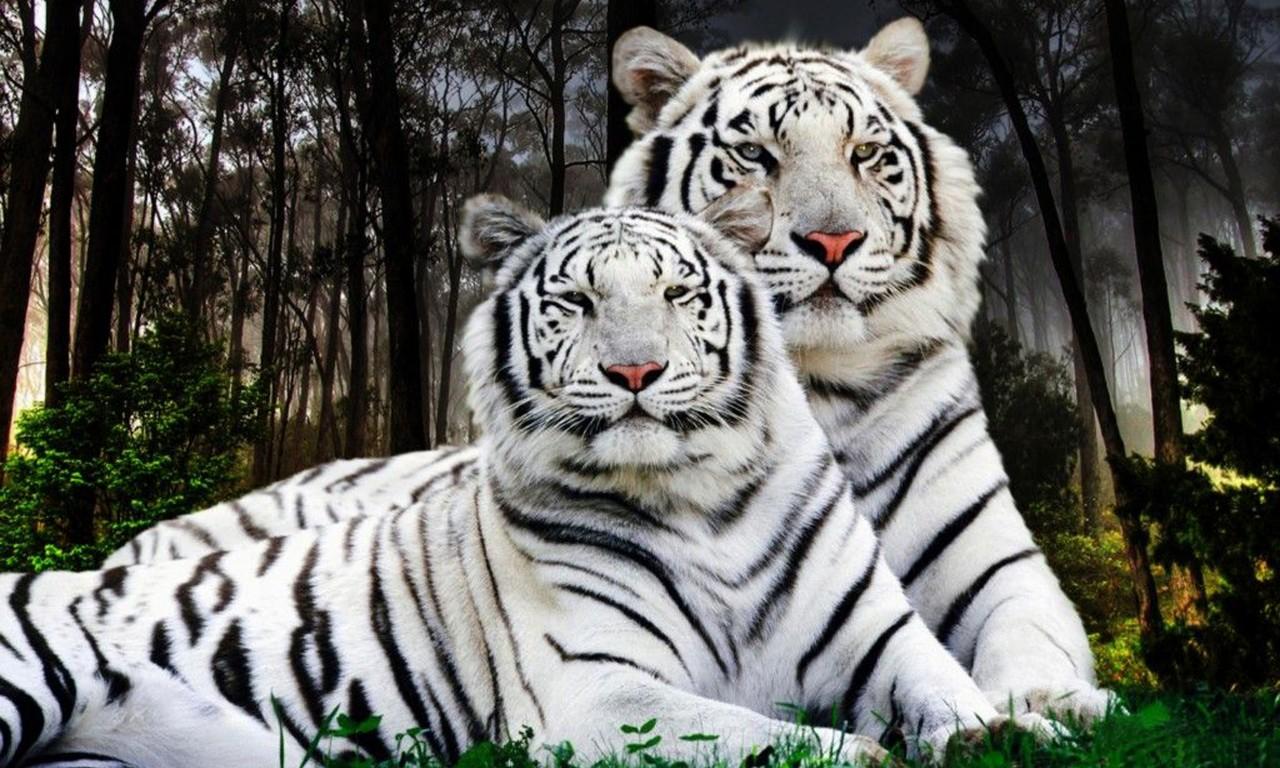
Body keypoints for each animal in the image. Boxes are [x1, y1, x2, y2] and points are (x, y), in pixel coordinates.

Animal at [2, 195, 1036, 767]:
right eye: (576, 300)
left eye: (678, 294)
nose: (634, 372)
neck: (705, 501)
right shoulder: (596, 692)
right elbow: (758, 739)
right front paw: (869, 754)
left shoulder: (876, 636)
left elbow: (946, 686)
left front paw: (999, 733)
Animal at [107, 16, 1111, 726]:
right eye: (755, 155)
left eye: (868, 154)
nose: (831, 241)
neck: (814, 386)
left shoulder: (993, 564)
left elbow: (1029, 636)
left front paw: (1054, 706)